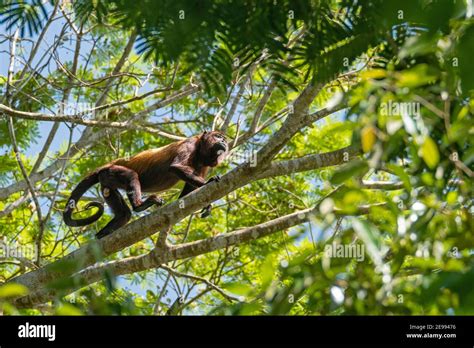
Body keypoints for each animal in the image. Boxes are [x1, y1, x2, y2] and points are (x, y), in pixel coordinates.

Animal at [63, 131, 228, 239]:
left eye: (224, 139)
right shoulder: (190, 144)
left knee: (123, 212)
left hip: (106, 179)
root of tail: (108, 164)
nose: (224, 142)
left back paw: (108, 229)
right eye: (217, 136)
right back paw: (139, 205)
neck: (200, 149)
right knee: (132, 175)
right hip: (112, 171)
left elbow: (189, 189)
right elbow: (176, 167)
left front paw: (205, 204)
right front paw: (208, 182)